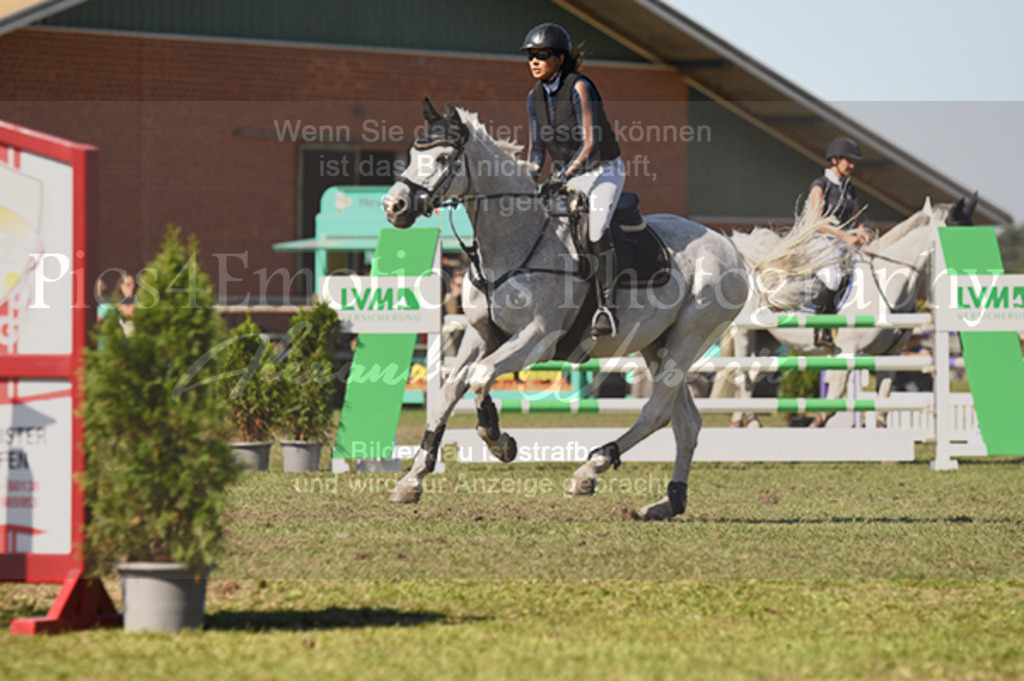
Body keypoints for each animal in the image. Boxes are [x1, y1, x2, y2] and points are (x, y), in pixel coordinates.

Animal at [380, 98, 749, 518]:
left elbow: (482, 376)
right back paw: (668, 502)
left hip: (690, 336)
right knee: (685, 421)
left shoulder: (539, 337)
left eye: (443, 158)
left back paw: (589, 471)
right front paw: (412, 480)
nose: (393, 206)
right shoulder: (481, 334)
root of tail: (729, 246)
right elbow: (449, 393)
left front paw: (499, 441)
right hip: (658, 345)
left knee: (656, 411)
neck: (514, 242)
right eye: (412, 155)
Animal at [720, 192, 974, 426]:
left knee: (752, 373)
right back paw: (750, 420)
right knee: (743, 377)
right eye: (957, 230)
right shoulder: (848, 351)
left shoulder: (890, 355)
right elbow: (833, 401)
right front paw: (816, 424)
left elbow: (882, 404)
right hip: (745, 333)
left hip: (768, 339)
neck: (887, 286)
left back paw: (740, 420)